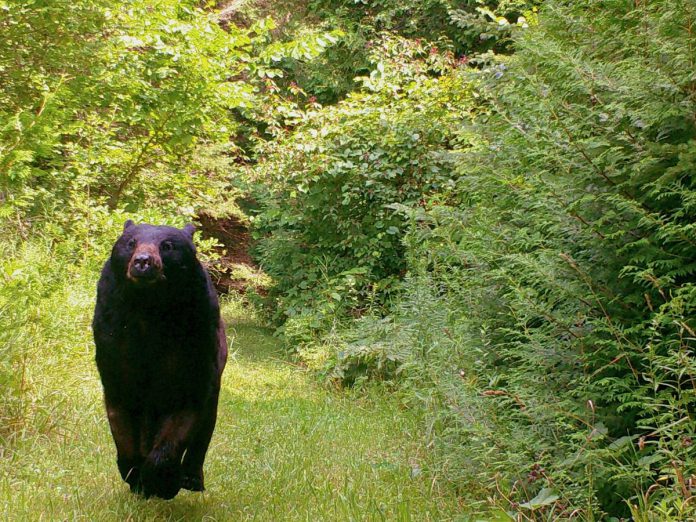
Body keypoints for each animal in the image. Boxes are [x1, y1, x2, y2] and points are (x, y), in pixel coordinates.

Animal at [92, 220, 227, 500]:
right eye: (130, 242)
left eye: (167, 246)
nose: (143, 262)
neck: (150, 308)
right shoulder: (114, 342)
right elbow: (121, 413)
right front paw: (135, 476)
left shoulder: (194, 344)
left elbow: (184, 413)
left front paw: (163, 482)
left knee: (206, 426)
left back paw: (191, 477)